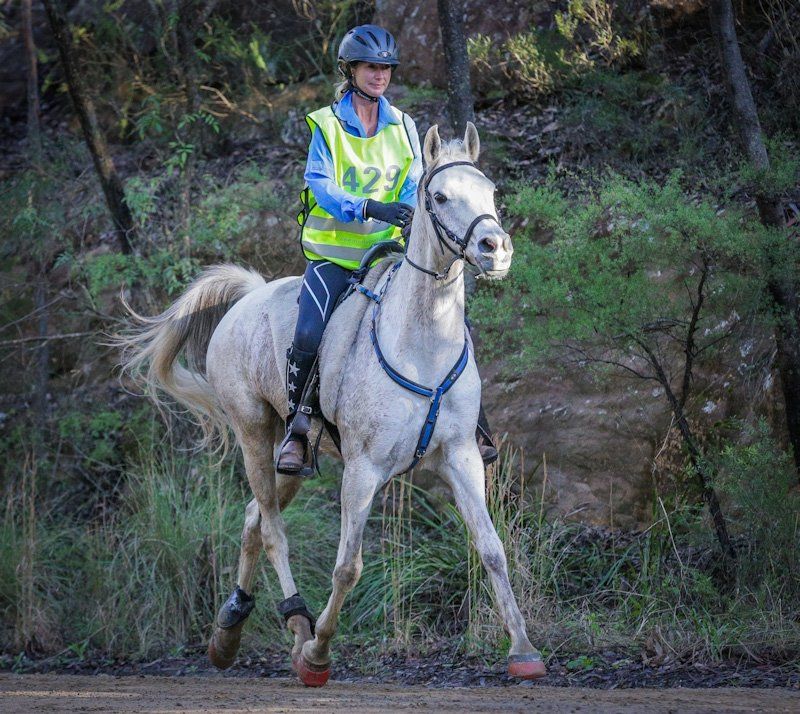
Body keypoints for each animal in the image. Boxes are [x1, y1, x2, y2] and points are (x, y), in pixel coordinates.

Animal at [116, 122, 546, 686]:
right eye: (439, 196)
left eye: (491, 192)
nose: (495, 248)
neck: (422, 343)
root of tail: (250, 296)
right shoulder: (363, 468)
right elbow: (348, 566)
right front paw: (318, 654)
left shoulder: (461, 456)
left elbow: (492, 549)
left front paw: (523, 649)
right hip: (254, 435)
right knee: (273, 531)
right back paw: (298, 627)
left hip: (293, 459)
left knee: (255, 517)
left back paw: (229, 631)